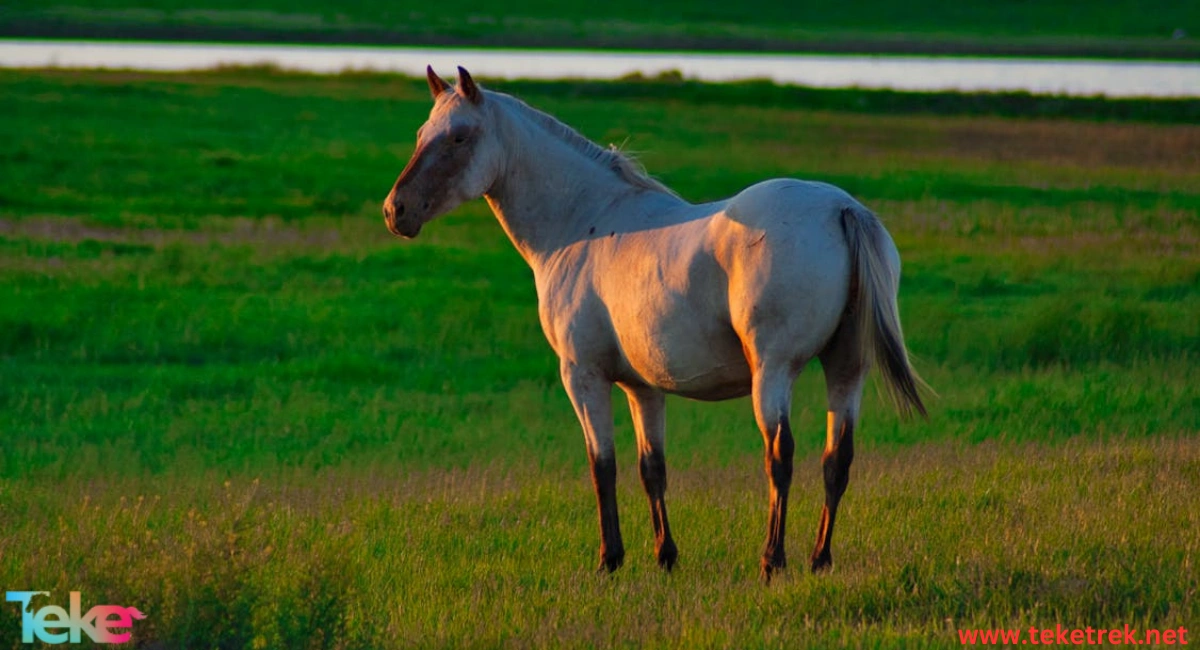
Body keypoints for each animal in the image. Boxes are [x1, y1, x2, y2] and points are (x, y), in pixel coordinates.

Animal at [384, 66, 926, 582]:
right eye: (422, 133)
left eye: (459, 136)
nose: (396, 211)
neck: (581, 224)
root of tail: (841, 208)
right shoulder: (642, 387)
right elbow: (652, 468)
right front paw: (665, 556)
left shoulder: (582, 376)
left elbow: (602, 465)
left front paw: (609, 559)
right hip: (846, 369)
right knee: (837, 459)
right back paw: (819, 559)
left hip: (772, 373)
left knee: (781, 456)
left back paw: (772, 560)